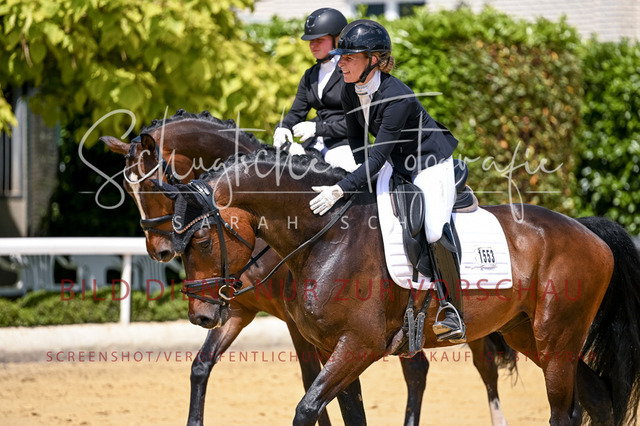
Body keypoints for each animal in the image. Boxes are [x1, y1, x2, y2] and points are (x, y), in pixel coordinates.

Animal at [101, 110, 517, 425]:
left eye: (151, 186)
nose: (159, 249)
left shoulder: (298, 324)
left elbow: (308, 381)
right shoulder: (238, 308)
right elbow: (201, 367)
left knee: (482, 365)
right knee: (420, 369)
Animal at [161, 146, 640, 426]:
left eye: (201, 240)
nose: (201, 315)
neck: (326, 237)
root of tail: (588, 231)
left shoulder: (358, 346)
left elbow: (306, 410)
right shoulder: (332, 348)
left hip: (557, 340)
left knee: (566, 411)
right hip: (531, 336)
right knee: (596, 400)